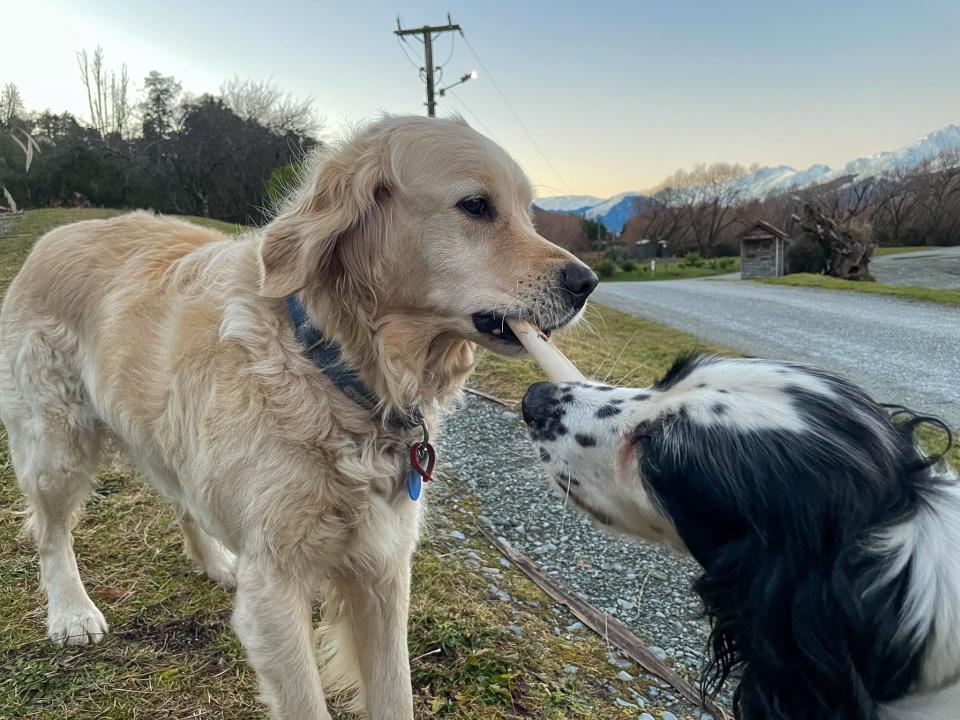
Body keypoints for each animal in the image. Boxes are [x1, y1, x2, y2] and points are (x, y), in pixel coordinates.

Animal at [0, 115, 596, 716]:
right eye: (476, 205)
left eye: (528, 213)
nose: (586, 284)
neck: (334, 366)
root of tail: (56, 233)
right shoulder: (275, 587)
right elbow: (307, 700)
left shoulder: (383, 570)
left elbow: (395, 692)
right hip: (55, 445)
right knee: (50, 531)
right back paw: (72, 611)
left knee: (182, 500)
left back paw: (215, 561)